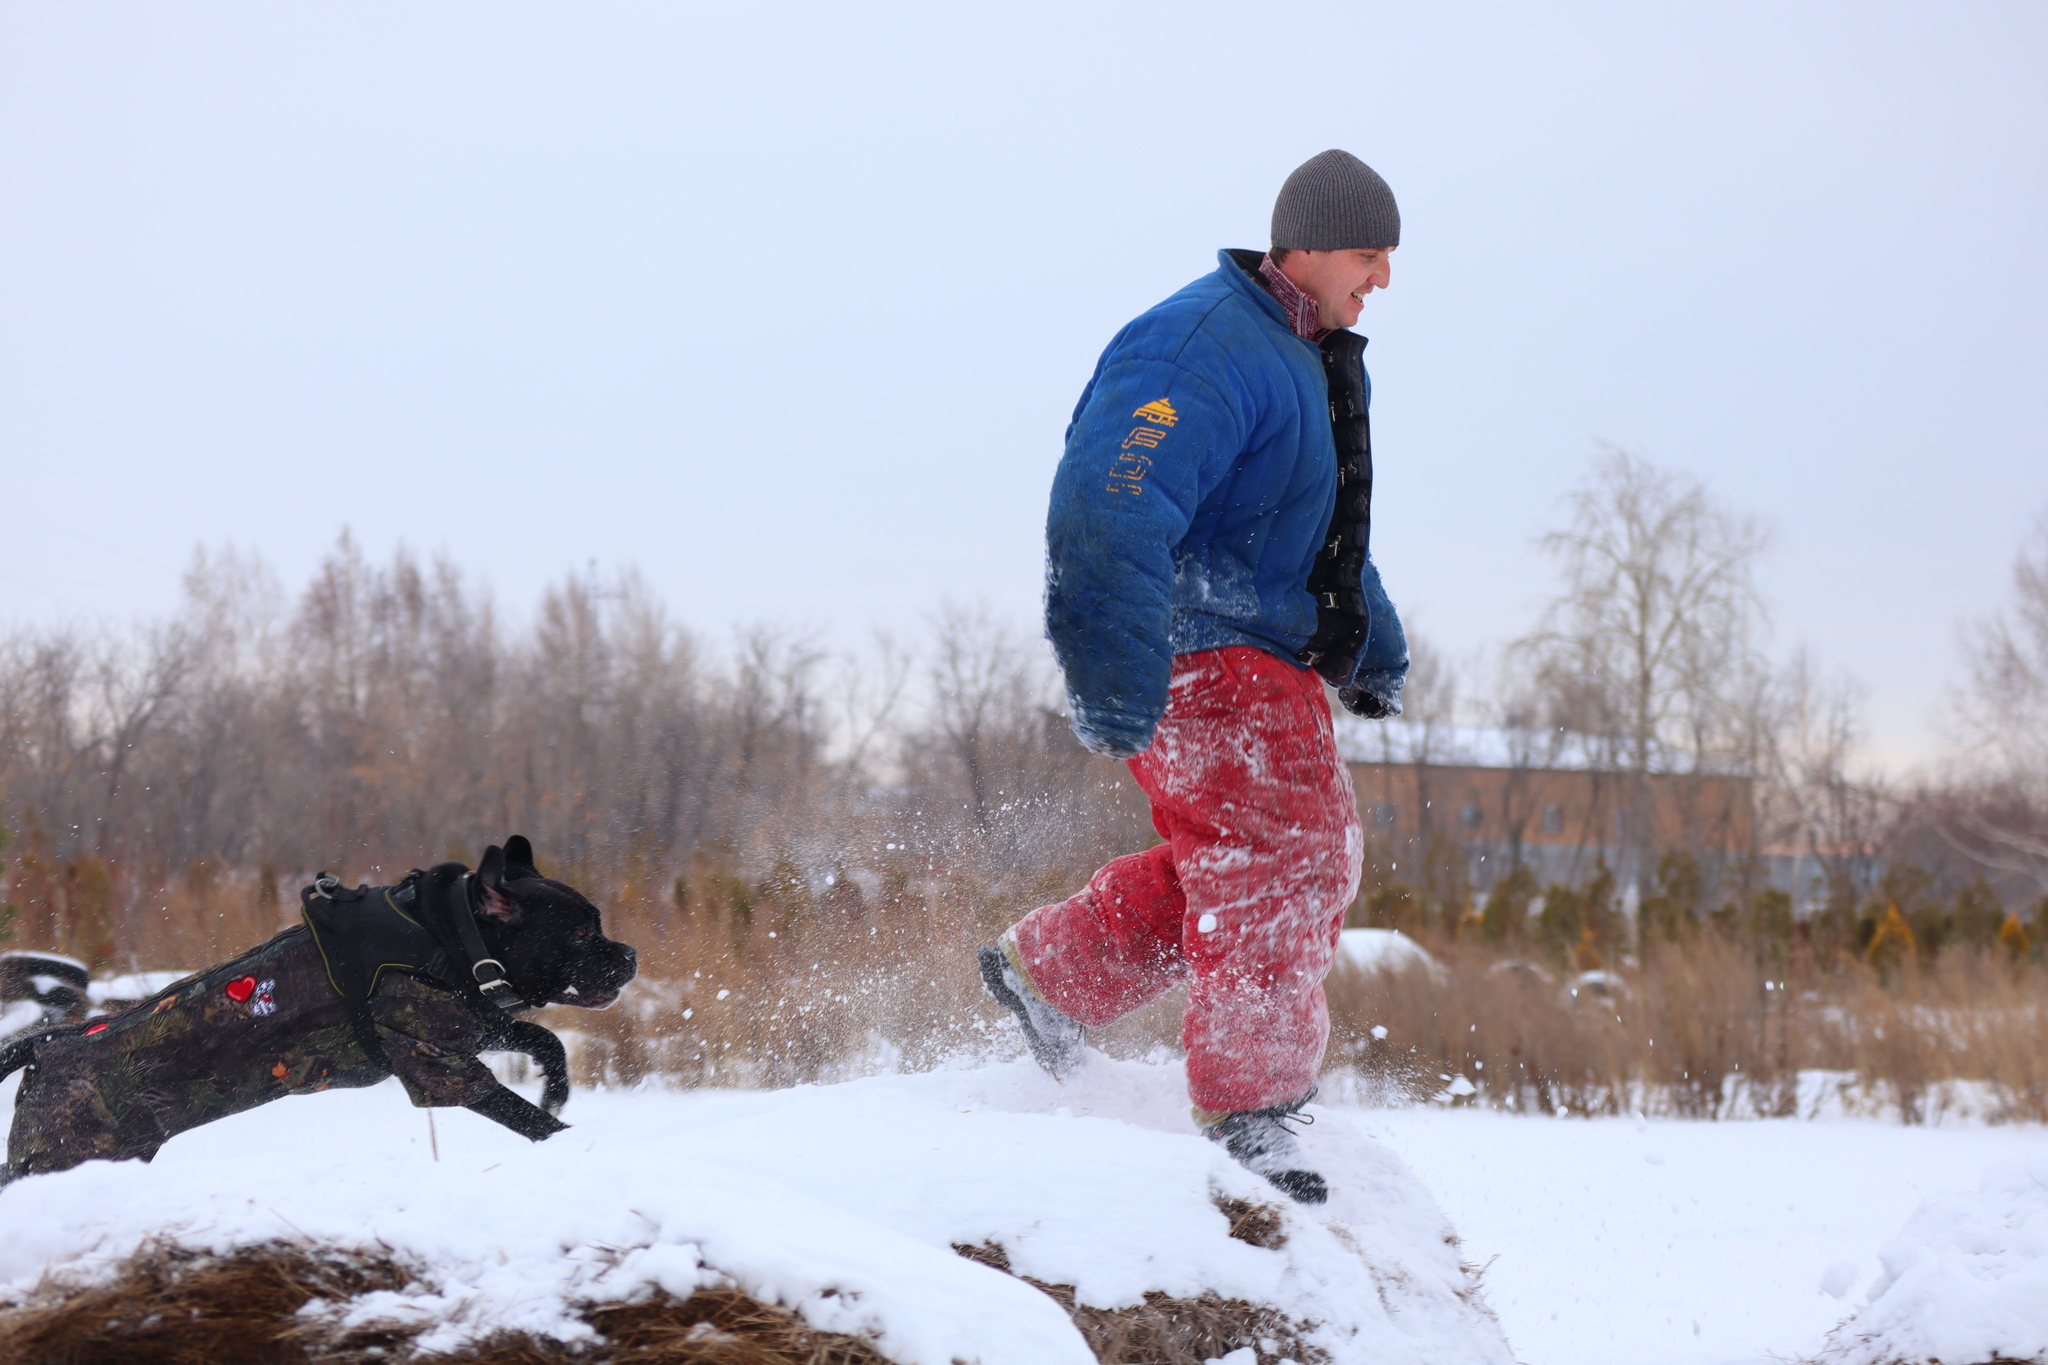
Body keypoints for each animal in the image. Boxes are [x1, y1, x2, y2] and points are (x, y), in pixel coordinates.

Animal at [0, 839, 634, 1178]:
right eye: (580, 933)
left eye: (597, 922)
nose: (629, 955)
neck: (449, 934)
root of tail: (49, 1046)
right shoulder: (440, 1065)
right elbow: (528, 1118)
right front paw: (568, 1136)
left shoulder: (461, 1026)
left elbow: (544, 1040)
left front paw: (556, 1088)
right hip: (66, 1154)